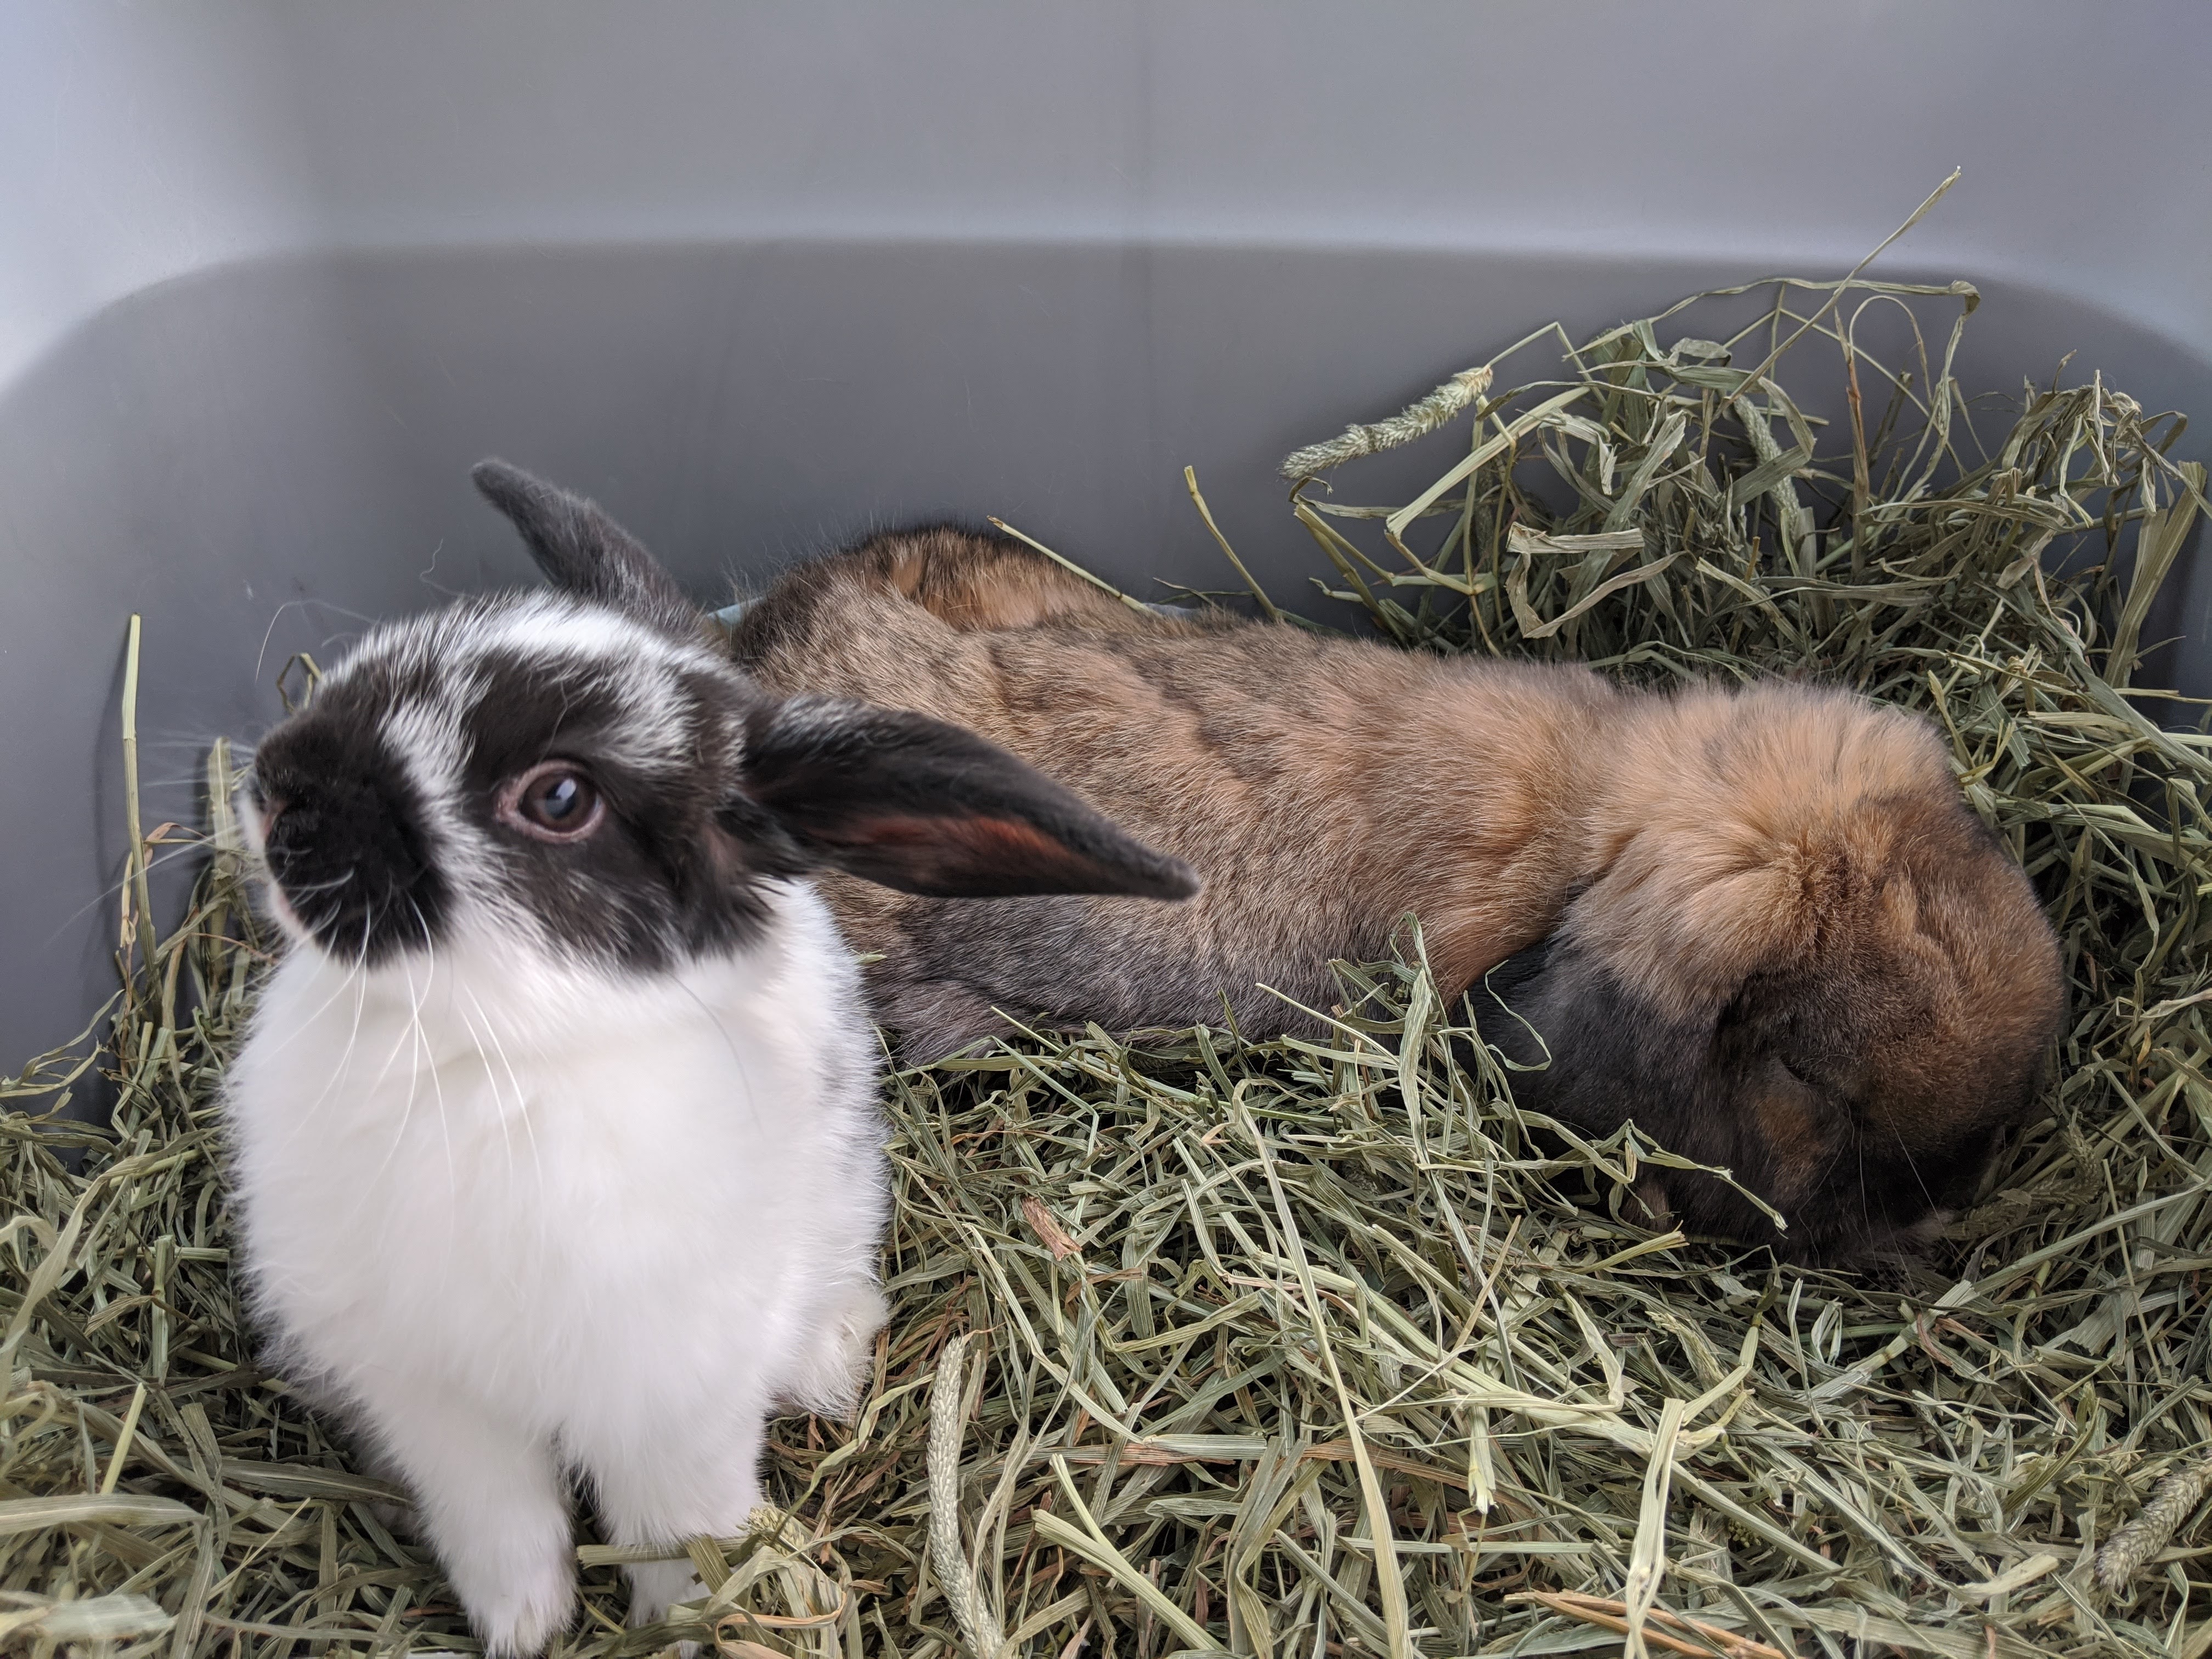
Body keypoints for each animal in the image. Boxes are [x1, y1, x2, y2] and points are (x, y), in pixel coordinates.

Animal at [221, 465, 1194, 1658]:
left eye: (558, 798)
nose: (282, 789)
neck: (492, 1049)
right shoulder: (434, 1398)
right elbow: (499, 1515)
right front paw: (523, 1623)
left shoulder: (674, 1402)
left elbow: (676, 1527)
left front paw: (684, 1624)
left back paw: (830, 1364)